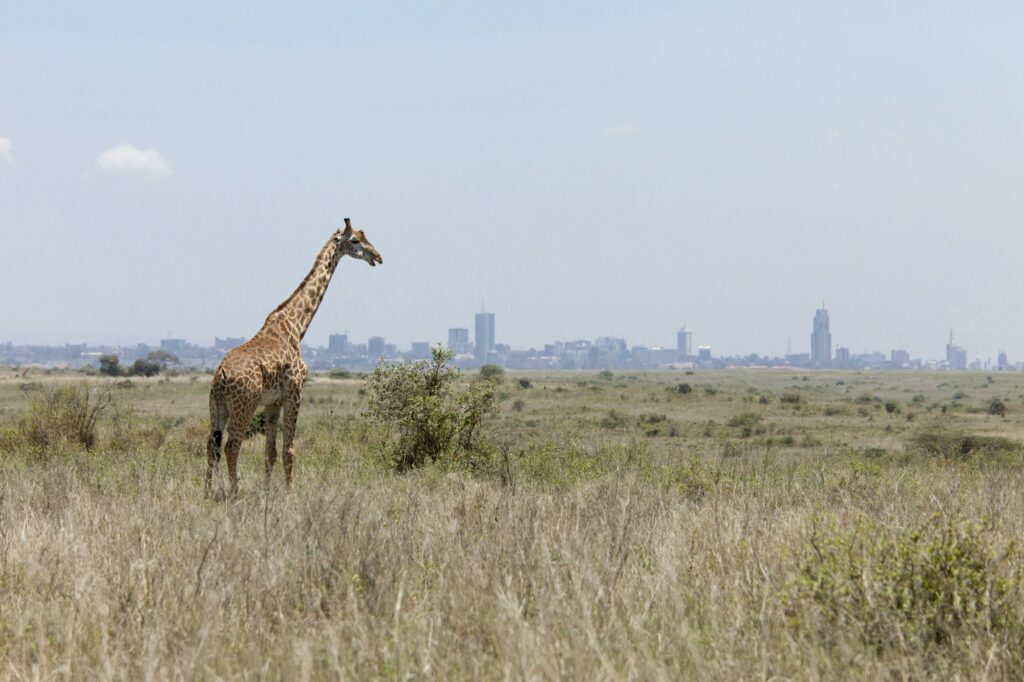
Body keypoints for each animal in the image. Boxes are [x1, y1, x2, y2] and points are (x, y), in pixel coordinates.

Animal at [205, 218, 382, 497]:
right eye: (355, 240)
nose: (377, 256)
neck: (297, 327)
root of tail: (220, 376)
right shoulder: (295, 392)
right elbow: (289, 450)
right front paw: (291, 492)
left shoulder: (273, 402)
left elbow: (270, 452)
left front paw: (268, 492)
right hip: (243, 405)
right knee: (232, 446)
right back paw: (234, 494)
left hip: (217, 405)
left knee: (211, 447)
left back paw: (206, 493)